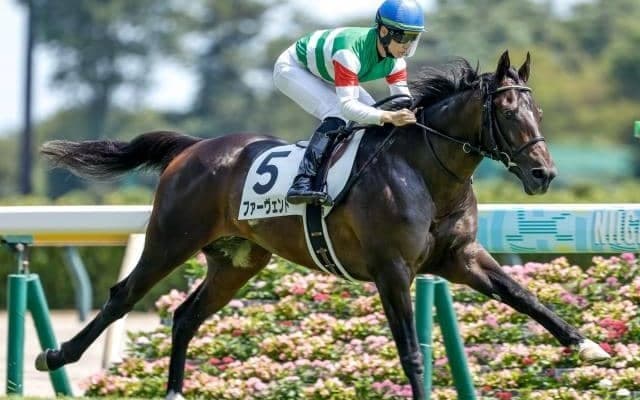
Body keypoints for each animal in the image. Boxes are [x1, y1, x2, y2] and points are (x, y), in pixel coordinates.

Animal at [36, 51, 609, 400]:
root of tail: (193, 148)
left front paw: (591, 348)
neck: (425, 172)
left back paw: (175, 389)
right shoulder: (392, 269)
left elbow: (526, 298)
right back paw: (56, 355)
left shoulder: (459, 258)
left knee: (185, 316)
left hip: (238, 260)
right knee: (122, 297)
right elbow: (411, 351)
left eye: (538, 111)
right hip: (170, 239)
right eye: (509, 111)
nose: (543, 174)